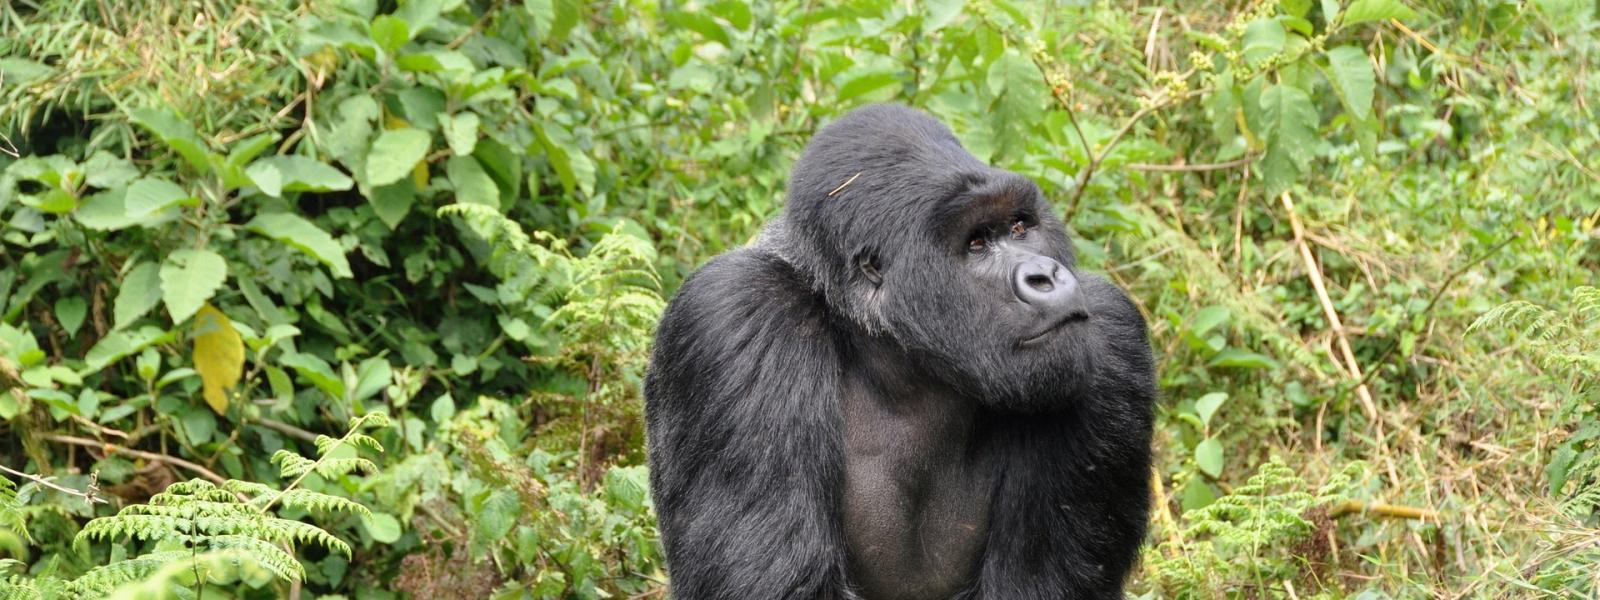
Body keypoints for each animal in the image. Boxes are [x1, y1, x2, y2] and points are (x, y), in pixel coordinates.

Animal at [643, 105, 1158, 600]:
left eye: (1019, 226)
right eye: (976, 243)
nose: (1045, 275)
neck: (898, 361)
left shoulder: (1113, 338)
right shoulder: (736, 312)